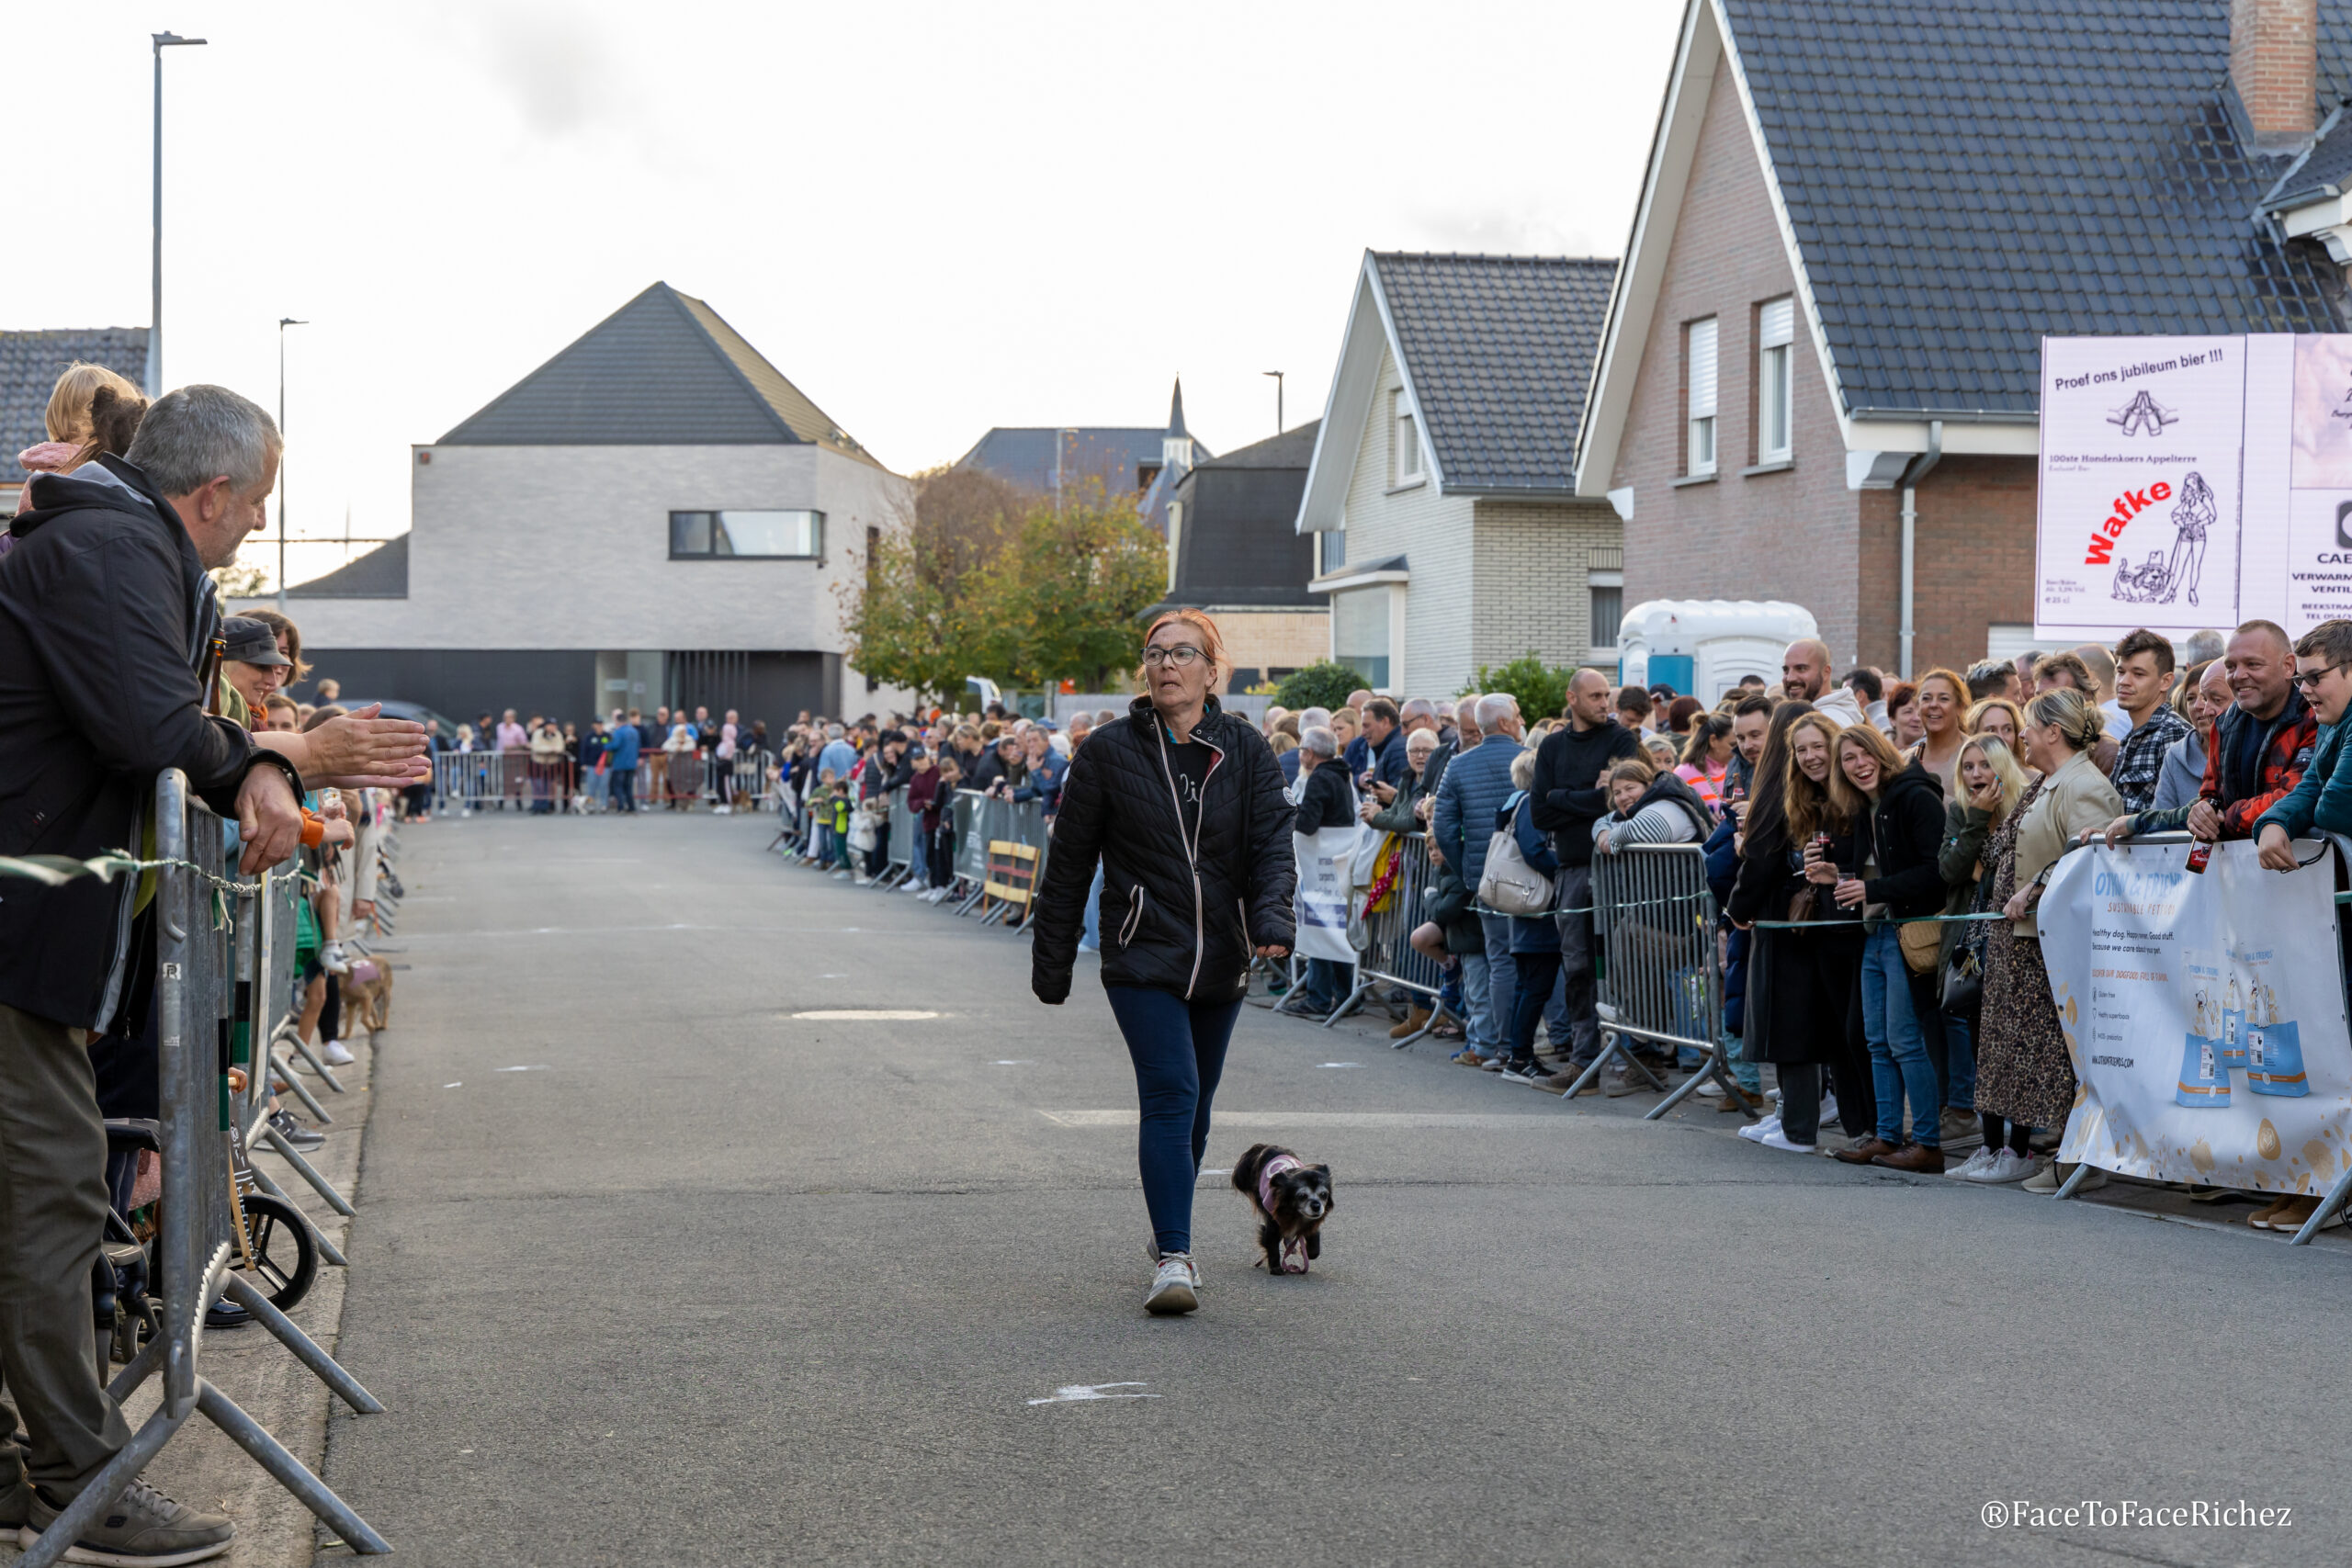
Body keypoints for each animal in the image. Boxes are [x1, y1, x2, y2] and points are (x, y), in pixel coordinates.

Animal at [1223, 1142, 1336, 1279]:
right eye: (1302, 1196)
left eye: (1324, 1194)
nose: (1316, 1206)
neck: (1296, 1213)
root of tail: (1266, 1146)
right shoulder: (1273, 1223)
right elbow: (1271, 1244)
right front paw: (1275, 1267)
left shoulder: (1311, 1223)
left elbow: (1314, 1247)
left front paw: (1307, 1252)